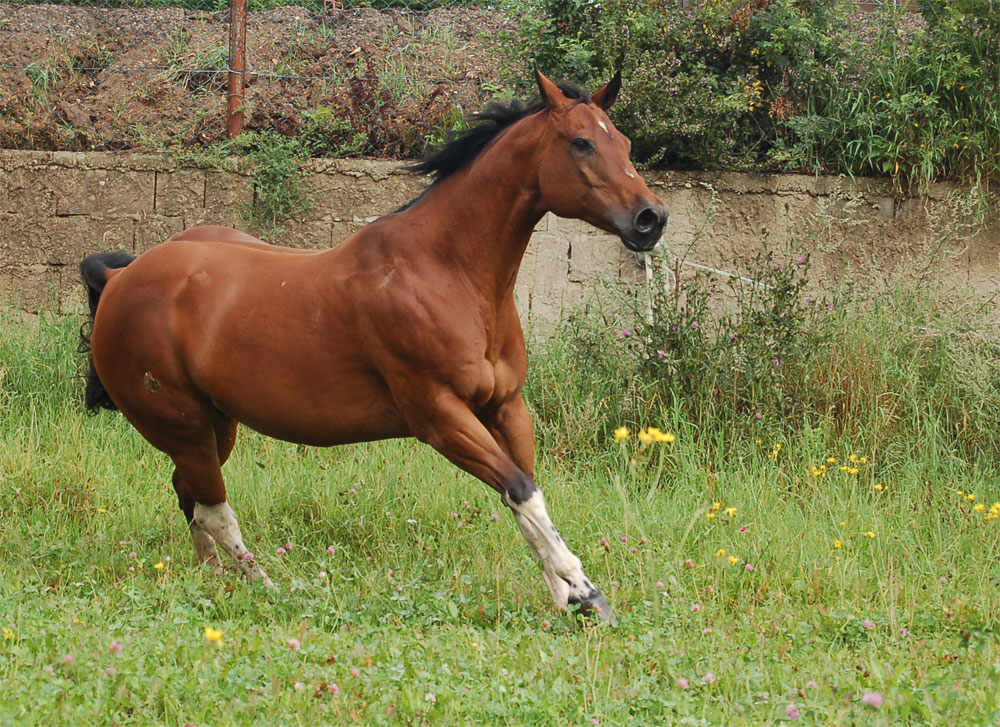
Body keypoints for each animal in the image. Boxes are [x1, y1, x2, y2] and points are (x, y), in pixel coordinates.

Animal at [78, 69, 668, 624]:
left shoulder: (506, 407)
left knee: (190, 497)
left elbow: (529, 499)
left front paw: (566, 596)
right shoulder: (440, 417)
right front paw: (585, 594)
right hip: (185, 427)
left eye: (624, 142)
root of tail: (120, 278)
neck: (446, 271)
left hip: (213, 427)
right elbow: (521, 489)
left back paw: (215, 582)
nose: (651, 218)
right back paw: (266, 587)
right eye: (580, 142)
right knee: (214, 510)